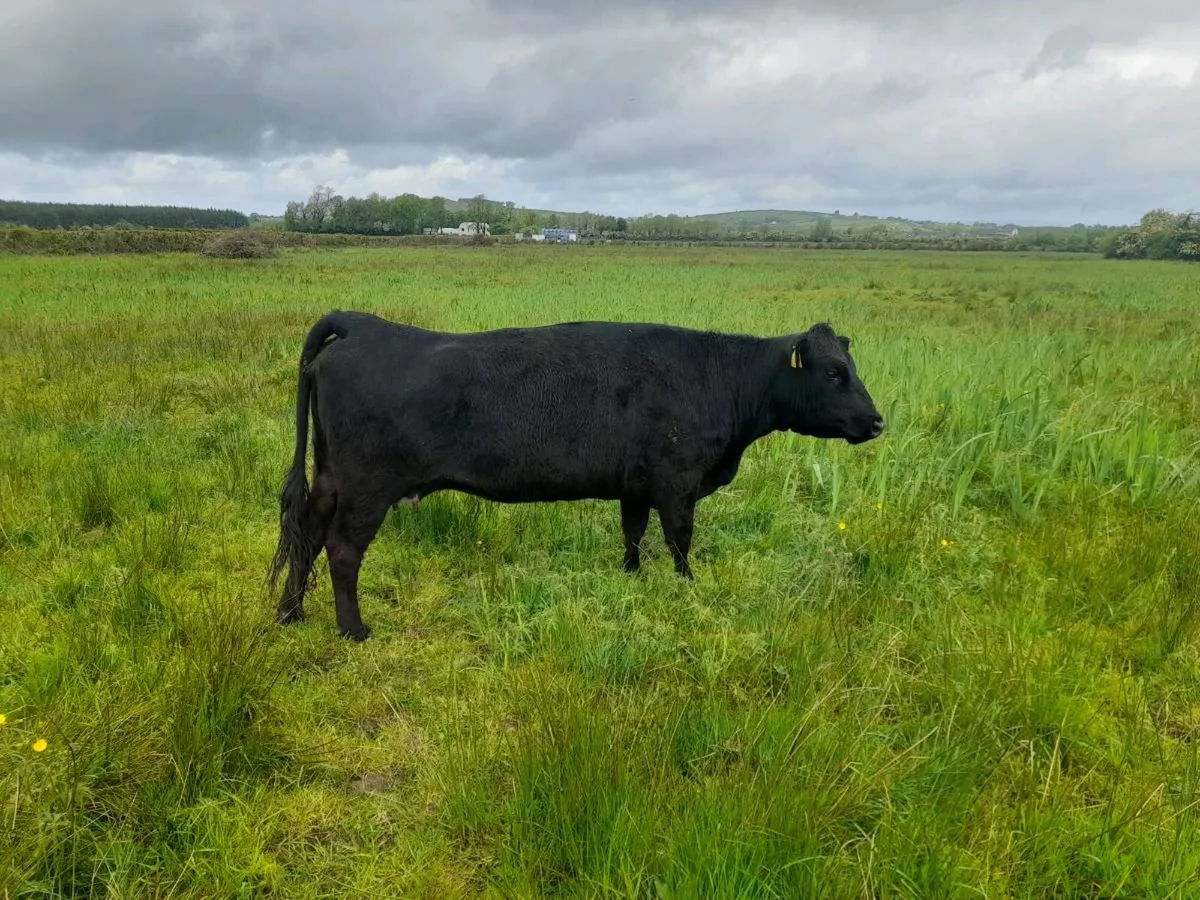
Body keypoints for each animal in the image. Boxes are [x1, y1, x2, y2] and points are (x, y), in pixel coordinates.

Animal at [268, 310, 885, 640]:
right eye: (834, 373)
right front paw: (688, 591)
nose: (878, 421)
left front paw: (631, 578)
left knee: (307, 535)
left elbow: (633, 532)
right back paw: (352, 629)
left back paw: (291, 613)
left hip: (330, 477)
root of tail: (361, 324)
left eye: (852, 367)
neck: (715, 378)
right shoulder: (677, 482)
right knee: (342, 549)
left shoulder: (636, 483)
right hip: (367, 487)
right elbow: (680, 540)